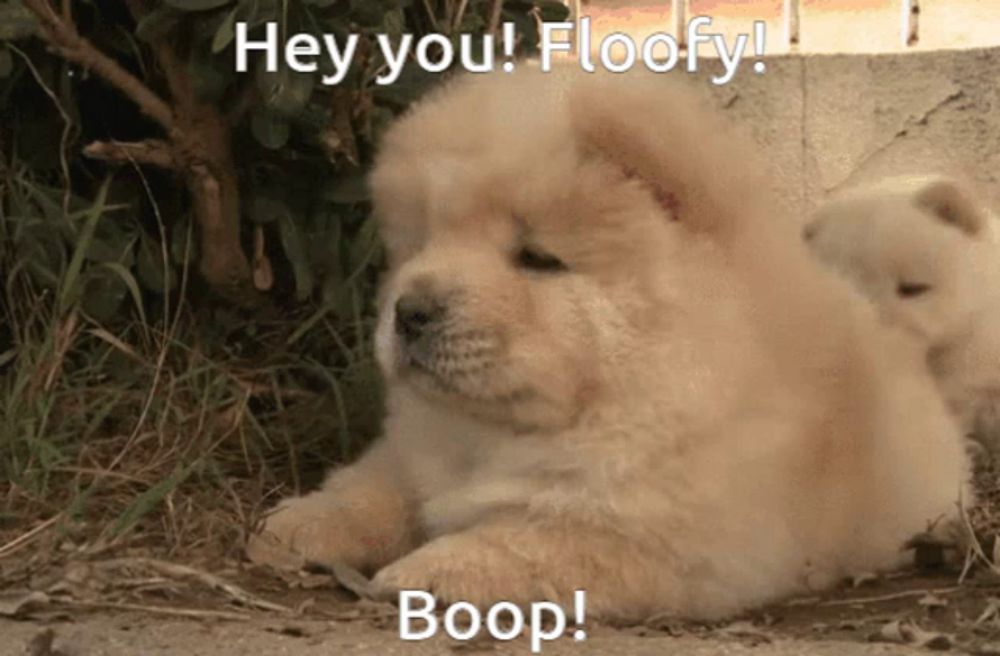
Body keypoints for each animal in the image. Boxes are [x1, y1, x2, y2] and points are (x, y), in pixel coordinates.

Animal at [246, 69, 972, 624]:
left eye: (537, 258)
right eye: (425, 241)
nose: (410, 310)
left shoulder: (672, 535)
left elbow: (530, 542)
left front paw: (424, 571)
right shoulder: (415, 448)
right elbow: (372, 485)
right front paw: (292, 526)